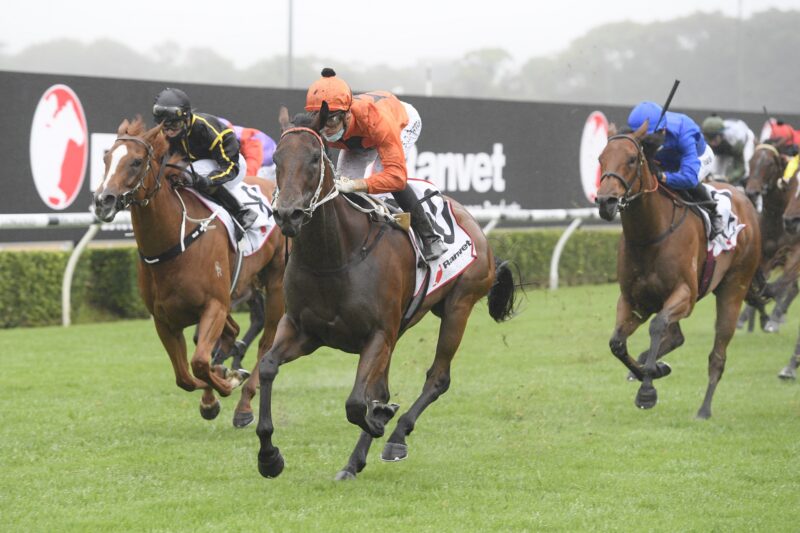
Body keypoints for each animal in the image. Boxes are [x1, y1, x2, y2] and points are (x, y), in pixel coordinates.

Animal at [92, 117, 286, 428]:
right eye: (106, 158)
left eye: (136, 162)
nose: (103, 200)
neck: (174, 242)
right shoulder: (164, 319)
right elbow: (185, 376)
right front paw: (212, 396)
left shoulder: (214, 305)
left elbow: (198, 363)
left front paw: (229, 382)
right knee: (231, 333)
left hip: (276, 282)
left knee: (267, 342)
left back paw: (244, 405)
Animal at [254, 105, 518, 480]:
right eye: (276, 158)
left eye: (315, 159)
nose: (287, 214)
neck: (336, 256)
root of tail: (471, 221)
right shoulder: (303, 331)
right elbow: (267, 367)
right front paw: (269, 456)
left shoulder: (378, 334)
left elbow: (355, 403)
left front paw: (380, 421)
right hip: (402, 328)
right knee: (384, 387)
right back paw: (357, 457)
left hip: (459, 306)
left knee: (437, 379)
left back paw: (394, 438)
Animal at [595, 120, 764, 419]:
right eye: (600, 159)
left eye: (631, 159)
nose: (606, 202)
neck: (650, 235)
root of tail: (745, 201)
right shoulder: (634, 300)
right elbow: (617, 343)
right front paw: (653, 370)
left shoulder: (685, 294)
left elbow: (657, 326)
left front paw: (647, 390)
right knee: (676, 337)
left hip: (734, 286)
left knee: (718, 353)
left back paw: (704, 409)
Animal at [739, 142, 800, 332]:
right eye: (751, 161)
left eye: (771, 164)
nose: (752, 192)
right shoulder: (764, 254)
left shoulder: (794, 251)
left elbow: (784, 284)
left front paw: (771, 319)